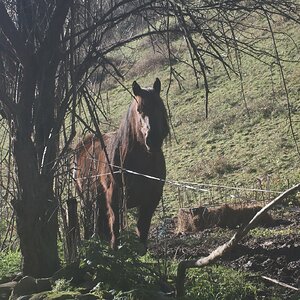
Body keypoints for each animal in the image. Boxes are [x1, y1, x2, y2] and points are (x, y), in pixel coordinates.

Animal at [74, 78, 170, 250]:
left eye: (160, 106)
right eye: (139, 109)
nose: (153, 140)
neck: (140, 168)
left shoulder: (151, 200)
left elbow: (142, 230)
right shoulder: (114, 199)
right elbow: (116, 230)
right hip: (88, 201)